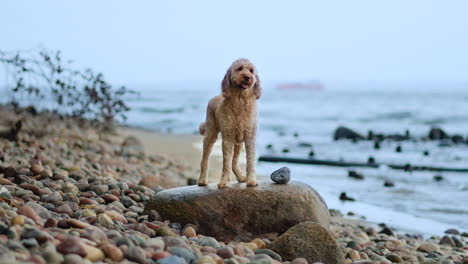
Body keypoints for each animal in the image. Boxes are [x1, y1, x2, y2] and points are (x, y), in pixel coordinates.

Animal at [197, 58, 264, 189]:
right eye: (239, 68)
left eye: (251, 71)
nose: (248, 77)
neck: (240, 101)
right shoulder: (228, 138)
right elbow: (226, 163)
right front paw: (224, 182)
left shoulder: (250, 137)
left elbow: (250, 161)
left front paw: (251, 180)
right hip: (210, 134)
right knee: (204, 160)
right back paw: (202, 180)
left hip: (239, 142)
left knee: (235, 161)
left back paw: (241, 177)